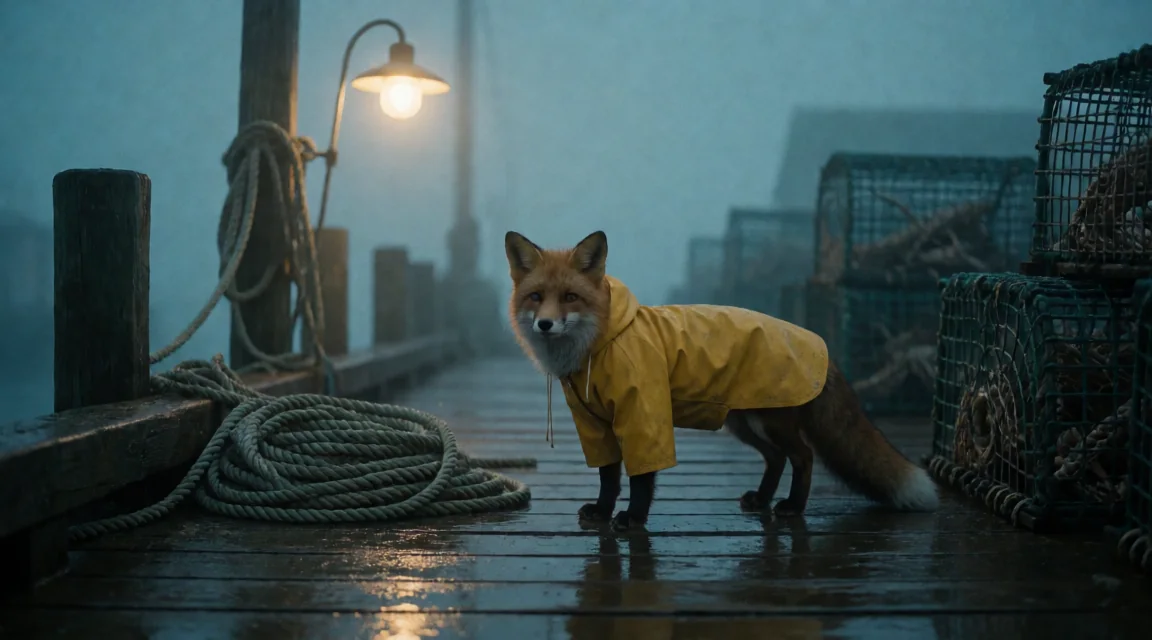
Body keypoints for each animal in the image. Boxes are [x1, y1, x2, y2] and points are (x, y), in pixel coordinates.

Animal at [504, 229, 940, 531]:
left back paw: (792, 507)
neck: (600, 343)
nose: (545, 324)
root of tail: (820, 346)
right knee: (776, 459)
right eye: (536, 297)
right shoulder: (596, 423)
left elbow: (642, 478)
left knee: (803, 456)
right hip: (744, 423)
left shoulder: (644, 413)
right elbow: (609, 477)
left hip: (771, 422)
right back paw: (762, 499)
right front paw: (602, 510)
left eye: (570, 298)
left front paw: (633, 518)